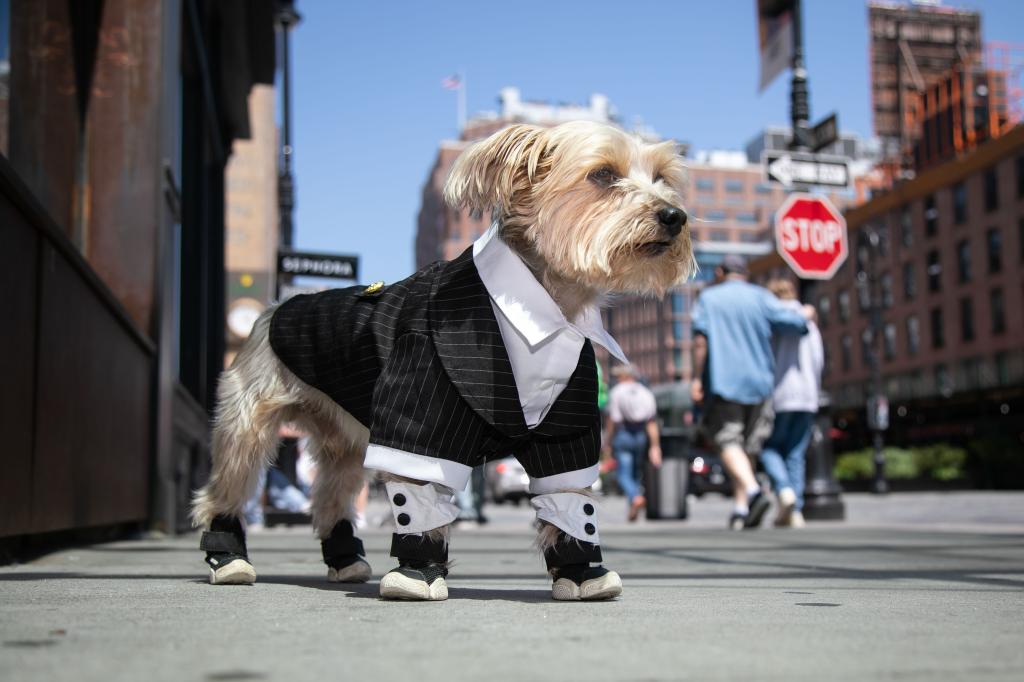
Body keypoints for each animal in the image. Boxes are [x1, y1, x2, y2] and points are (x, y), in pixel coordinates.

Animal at [191, 122, 692, 602]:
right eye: (603, 175)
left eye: (663, 178)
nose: (676, 216)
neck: (545, 303)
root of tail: (278, 306)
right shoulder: (422, 419)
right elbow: (418, 502)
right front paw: (417, 571)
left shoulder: (566, 429)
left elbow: (569, 501)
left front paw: (581, 570)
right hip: (248, 419)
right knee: (228, 483)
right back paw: (228, 556)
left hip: (343, 440)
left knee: (332, 495)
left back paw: (344, 558)